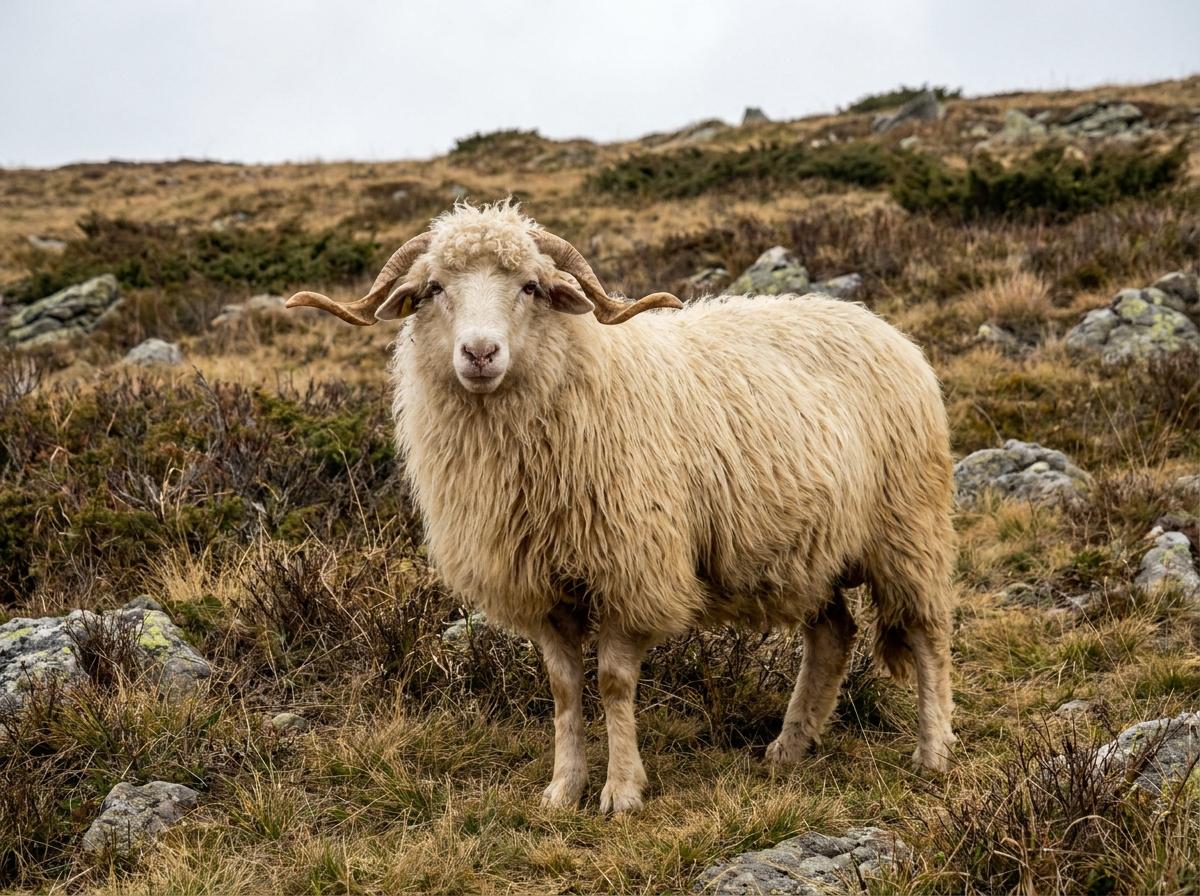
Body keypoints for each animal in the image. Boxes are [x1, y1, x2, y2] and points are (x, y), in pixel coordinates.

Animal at [287, 201, 957, 813]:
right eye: (434, 289)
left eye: (530, 286)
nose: (480, 354)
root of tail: (880, 326)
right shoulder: (543, 588)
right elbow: (562, 690)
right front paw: (563, 790)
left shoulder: (632, 572)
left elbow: (612, 685)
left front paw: (622, 791)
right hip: (810, 552)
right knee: (832, 637)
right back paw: (788, 750)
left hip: (908, 526)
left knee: (928, 635)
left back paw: (933, 752)